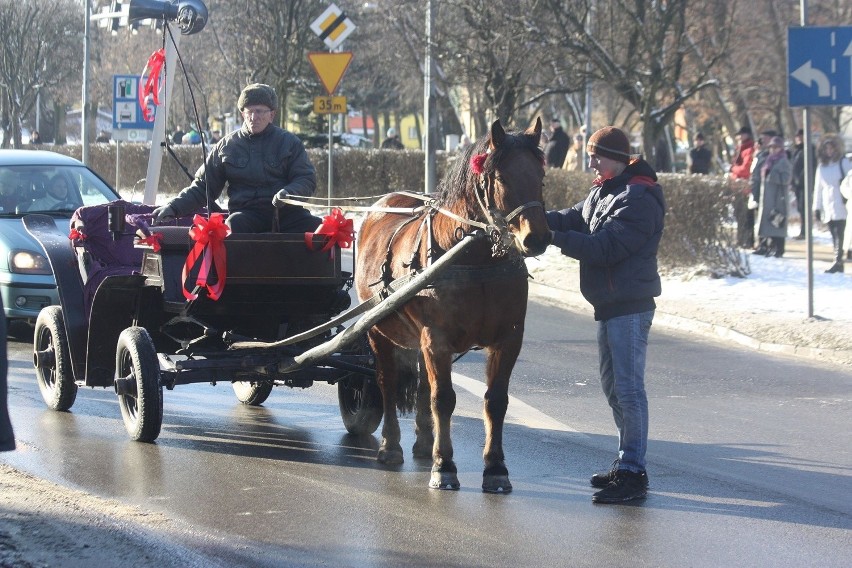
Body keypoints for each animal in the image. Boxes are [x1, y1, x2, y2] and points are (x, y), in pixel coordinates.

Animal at [354, 117, 548, 490]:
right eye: (501, 178)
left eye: (542, 177)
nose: (537, 237)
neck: (474, 259)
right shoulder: (437, 340)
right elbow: (443, 399)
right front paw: (444, 465)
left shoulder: (508, 339)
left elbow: (495, 401)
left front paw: (496, 467)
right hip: (379, 332)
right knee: (387, 383)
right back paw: (390, 445)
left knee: (421, 386)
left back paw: (424, 441)